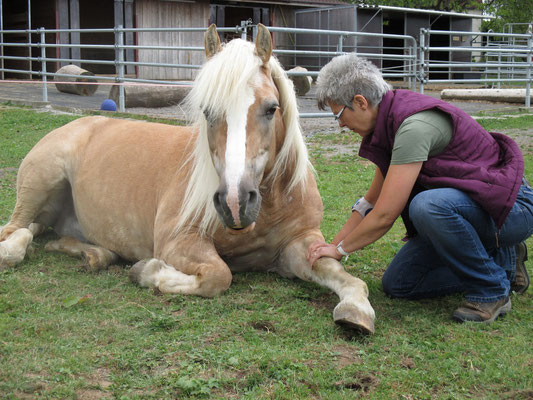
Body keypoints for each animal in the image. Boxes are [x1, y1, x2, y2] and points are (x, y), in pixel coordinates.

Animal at [0, 24, 374, 334]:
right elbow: (218, 275)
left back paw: (95, 256)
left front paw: (356, 311)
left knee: (44, 233)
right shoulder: (178, 241)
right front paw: (147, 271)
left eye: (271, 108)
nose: (235, 202)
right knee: (16, 231)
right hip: (40, 185)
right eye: (207, 111)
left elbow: (345, 276)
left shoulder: (299, 243)